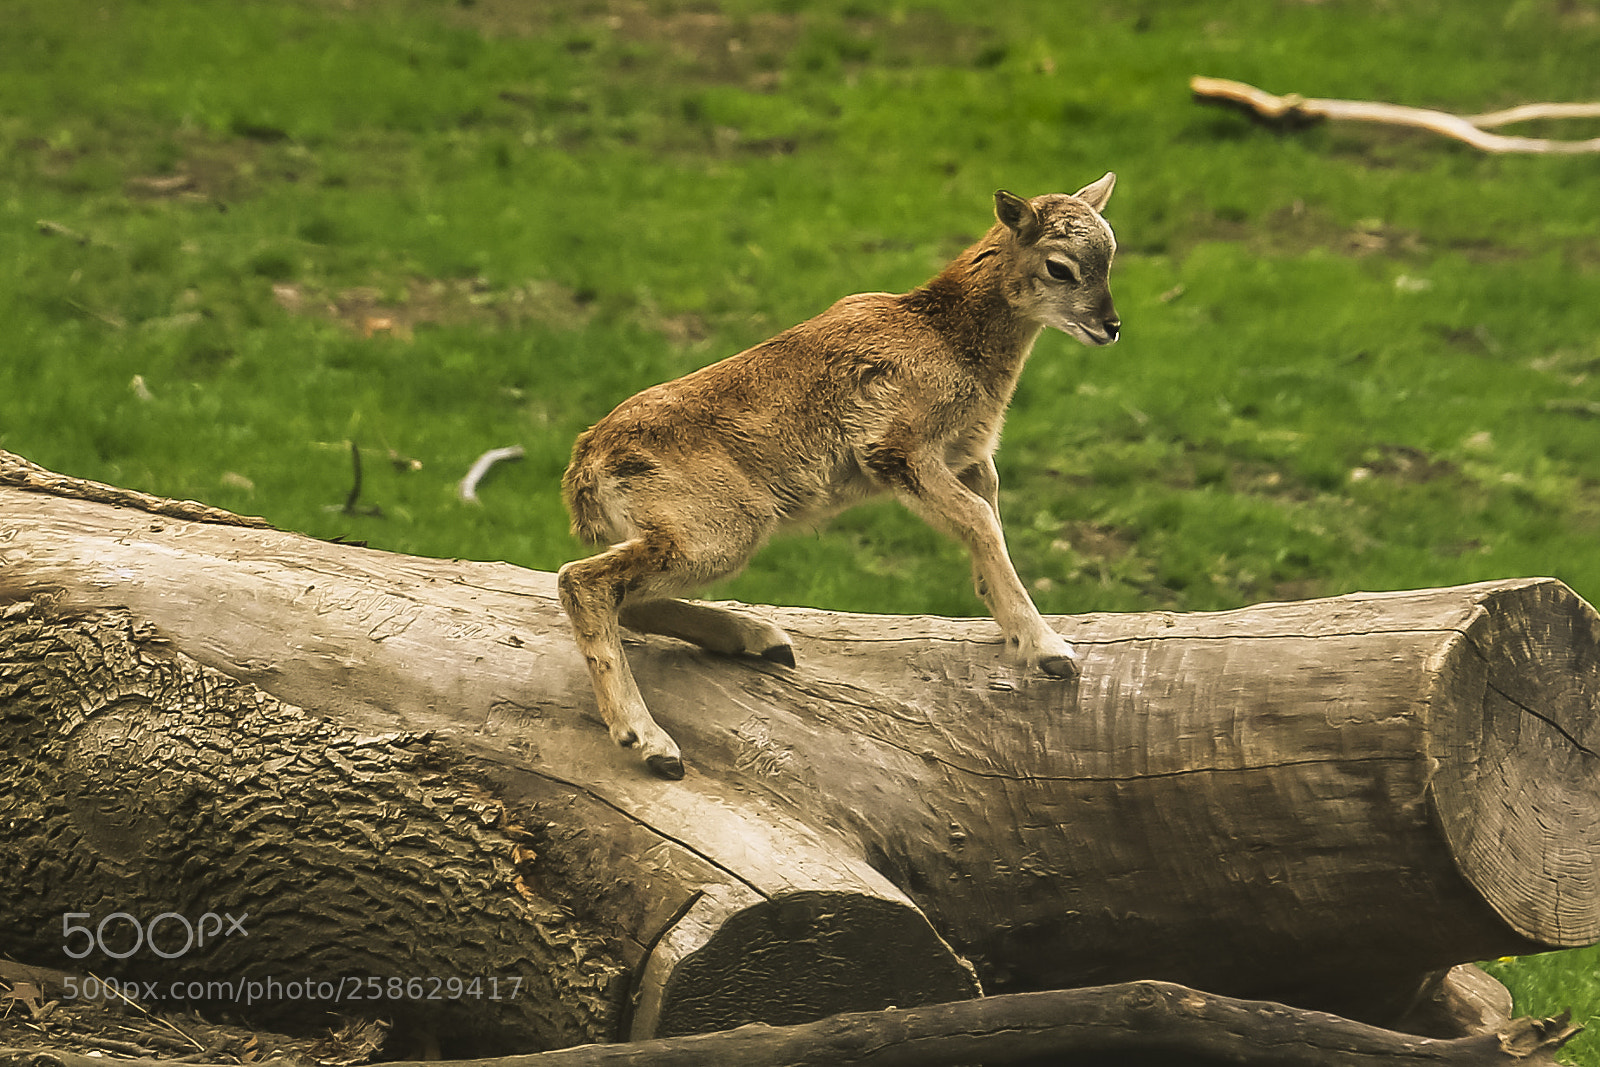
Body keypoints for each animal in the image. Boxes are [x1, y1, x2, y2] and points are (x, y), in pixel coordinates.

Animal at [558, 175, 1120, 780]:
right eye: (1060, 267)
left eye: (1112, 255)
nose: (1111, 327)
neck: (948, 338)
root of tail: (584, 472)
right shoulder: (896, 450)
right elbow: (979, 519)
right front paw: (1050, 651)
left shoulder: (970, 456)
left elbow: (988, 518)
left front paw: (1007, 621)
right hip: (719, 528)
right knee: (581, 581)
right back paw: (653, 743)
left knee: (630, 601)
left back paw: (763, 642)